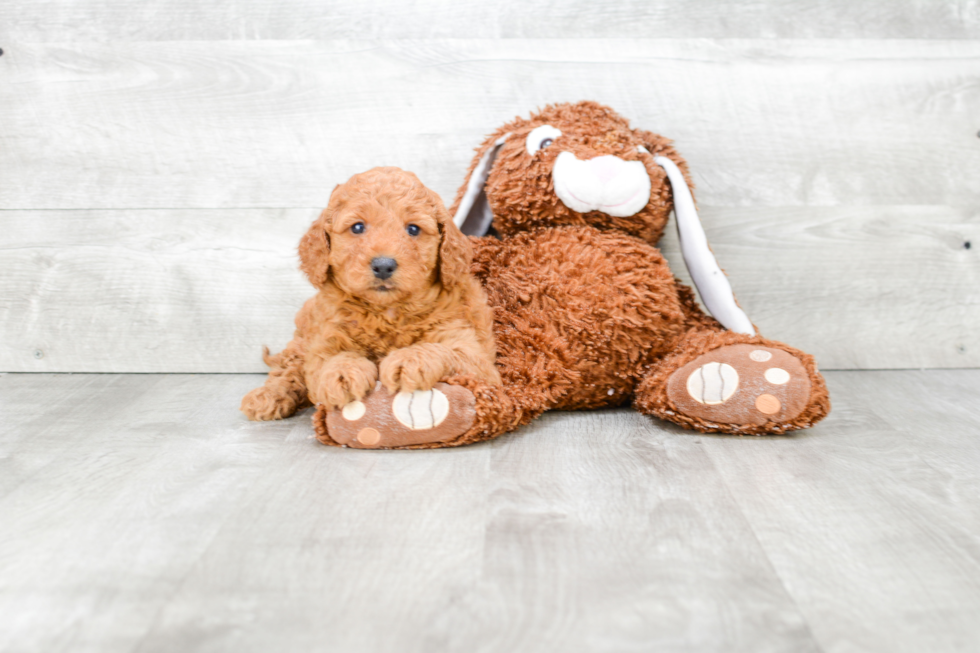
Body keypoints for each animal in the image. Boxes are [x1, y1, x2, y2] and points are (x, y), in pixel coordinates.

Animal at [238, 167, 498, 428]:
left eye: (413, 229)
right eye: (357, 227)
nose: (383, 265)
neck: (387, 312)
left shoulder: (476, 359)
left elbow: (443, 349)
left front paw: (410, 360)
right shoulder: (324, 341)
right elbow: (329, 360)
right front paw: (342, 373)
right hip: (302, 339)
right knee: (288, 369)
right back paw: (267, 397)